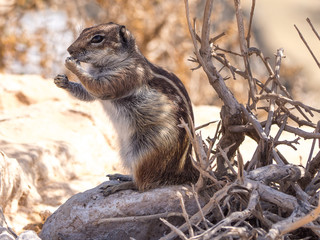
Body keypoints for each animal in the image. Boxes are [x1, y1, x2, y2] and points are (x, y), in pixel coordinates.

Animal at [55, 22, 199, 193]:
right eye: (83, 31)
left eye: (97, 38)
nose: (69, 50)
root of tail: (185, 170)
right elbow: (87, 94)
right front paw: (62, 81)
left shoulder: (127, 76)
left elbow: (99, 87)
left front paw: (72, 64)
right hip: (126, 151)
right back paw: (123, 176)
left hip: (145, 153)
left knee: (143, 184)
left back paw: (118, 185)